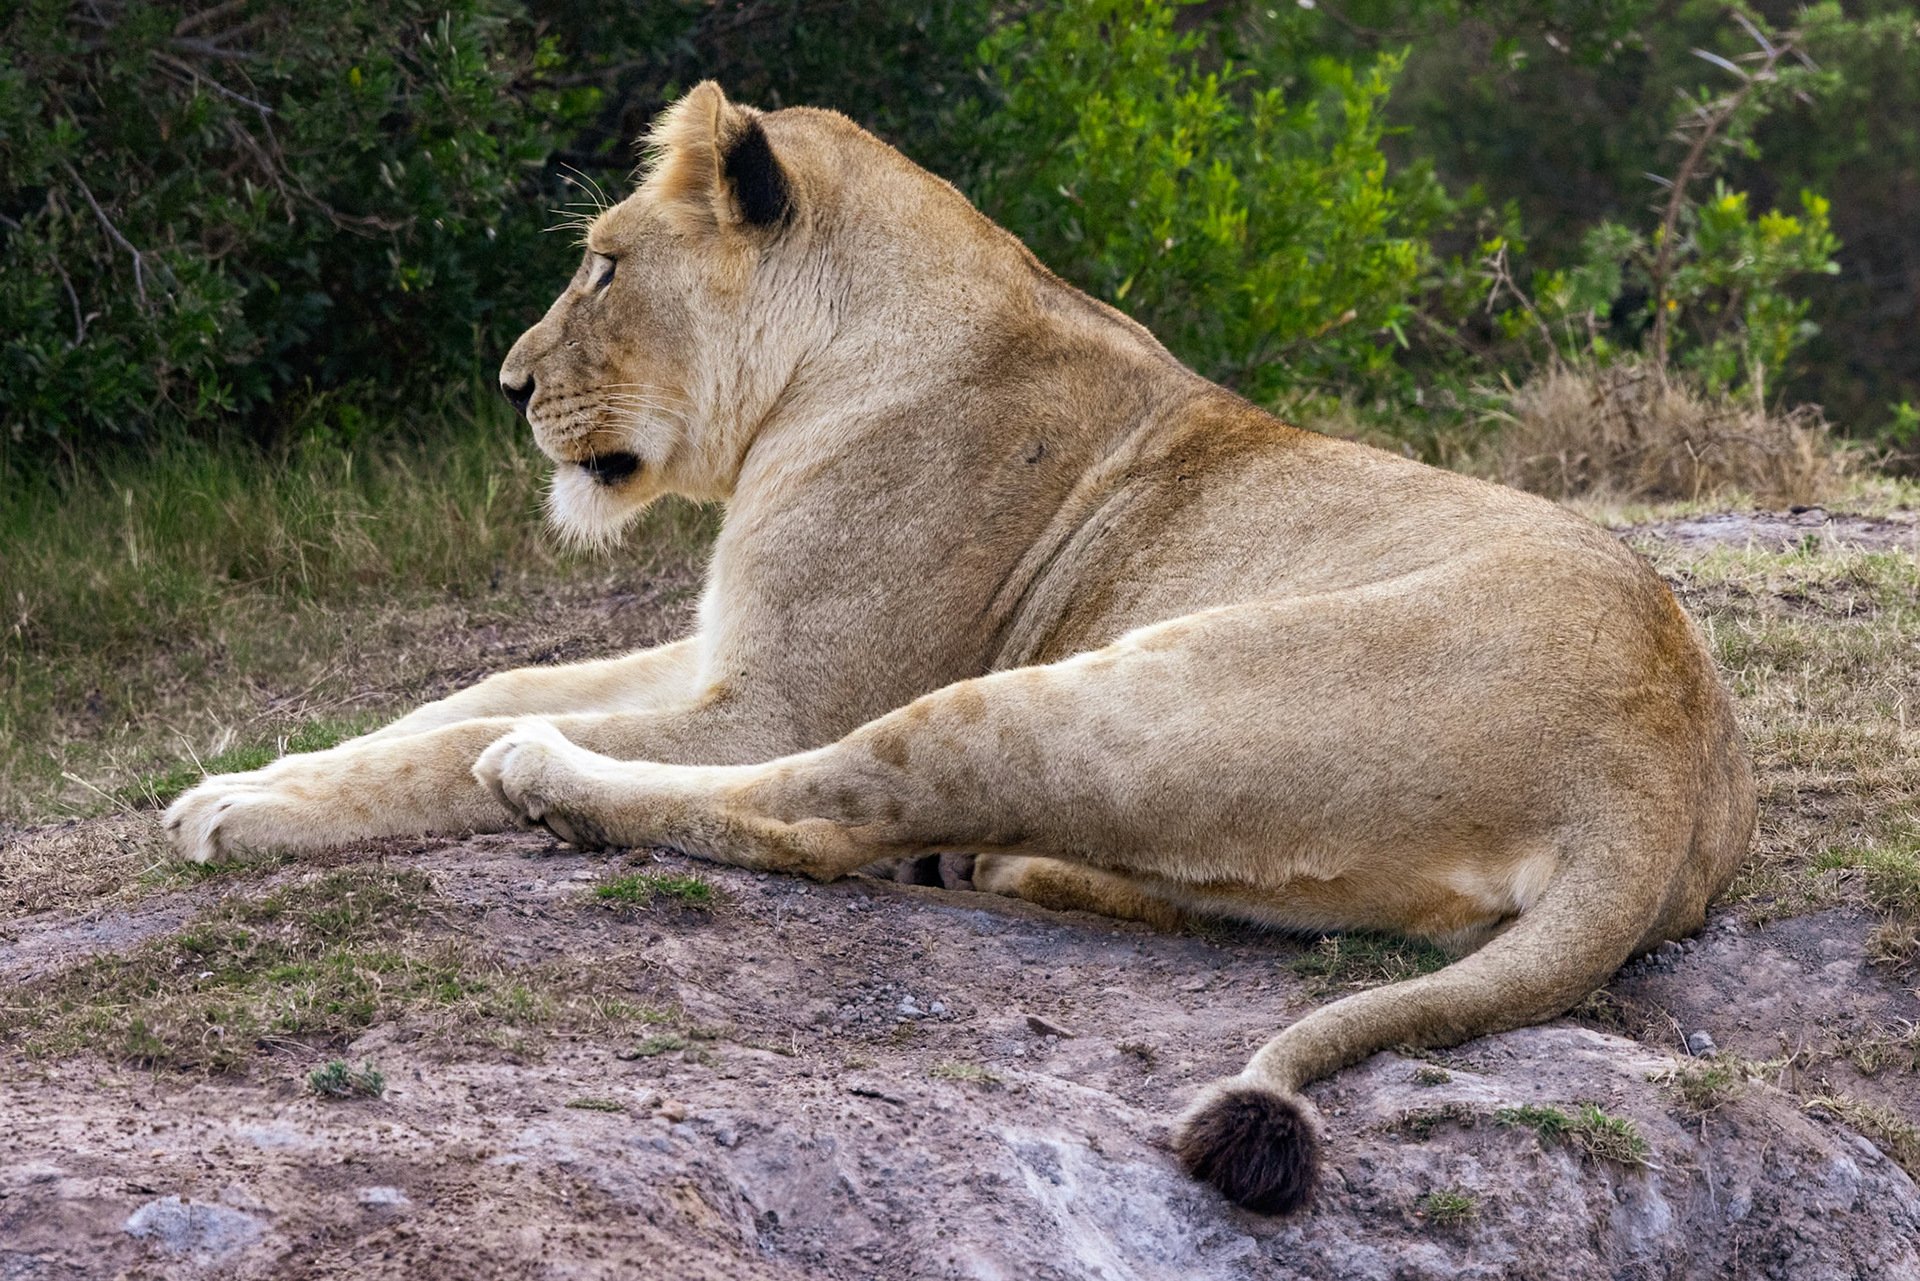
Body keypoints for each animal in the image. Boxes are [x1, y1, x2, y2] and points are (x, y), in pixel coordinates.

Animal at [164, 82, 1755, 1214]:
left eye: (605, 269)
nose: (509, 386)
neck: (832, 359)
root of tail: (1658, 774)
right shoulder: (722, 649)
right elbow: (468, 682)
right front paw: (261, 769)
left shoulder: (778, 696)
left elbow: (460, 738)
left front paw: (241, 809)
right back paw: (1011, 867)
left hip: (1112, 685)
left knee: (815, 812)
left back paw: (551, 780)